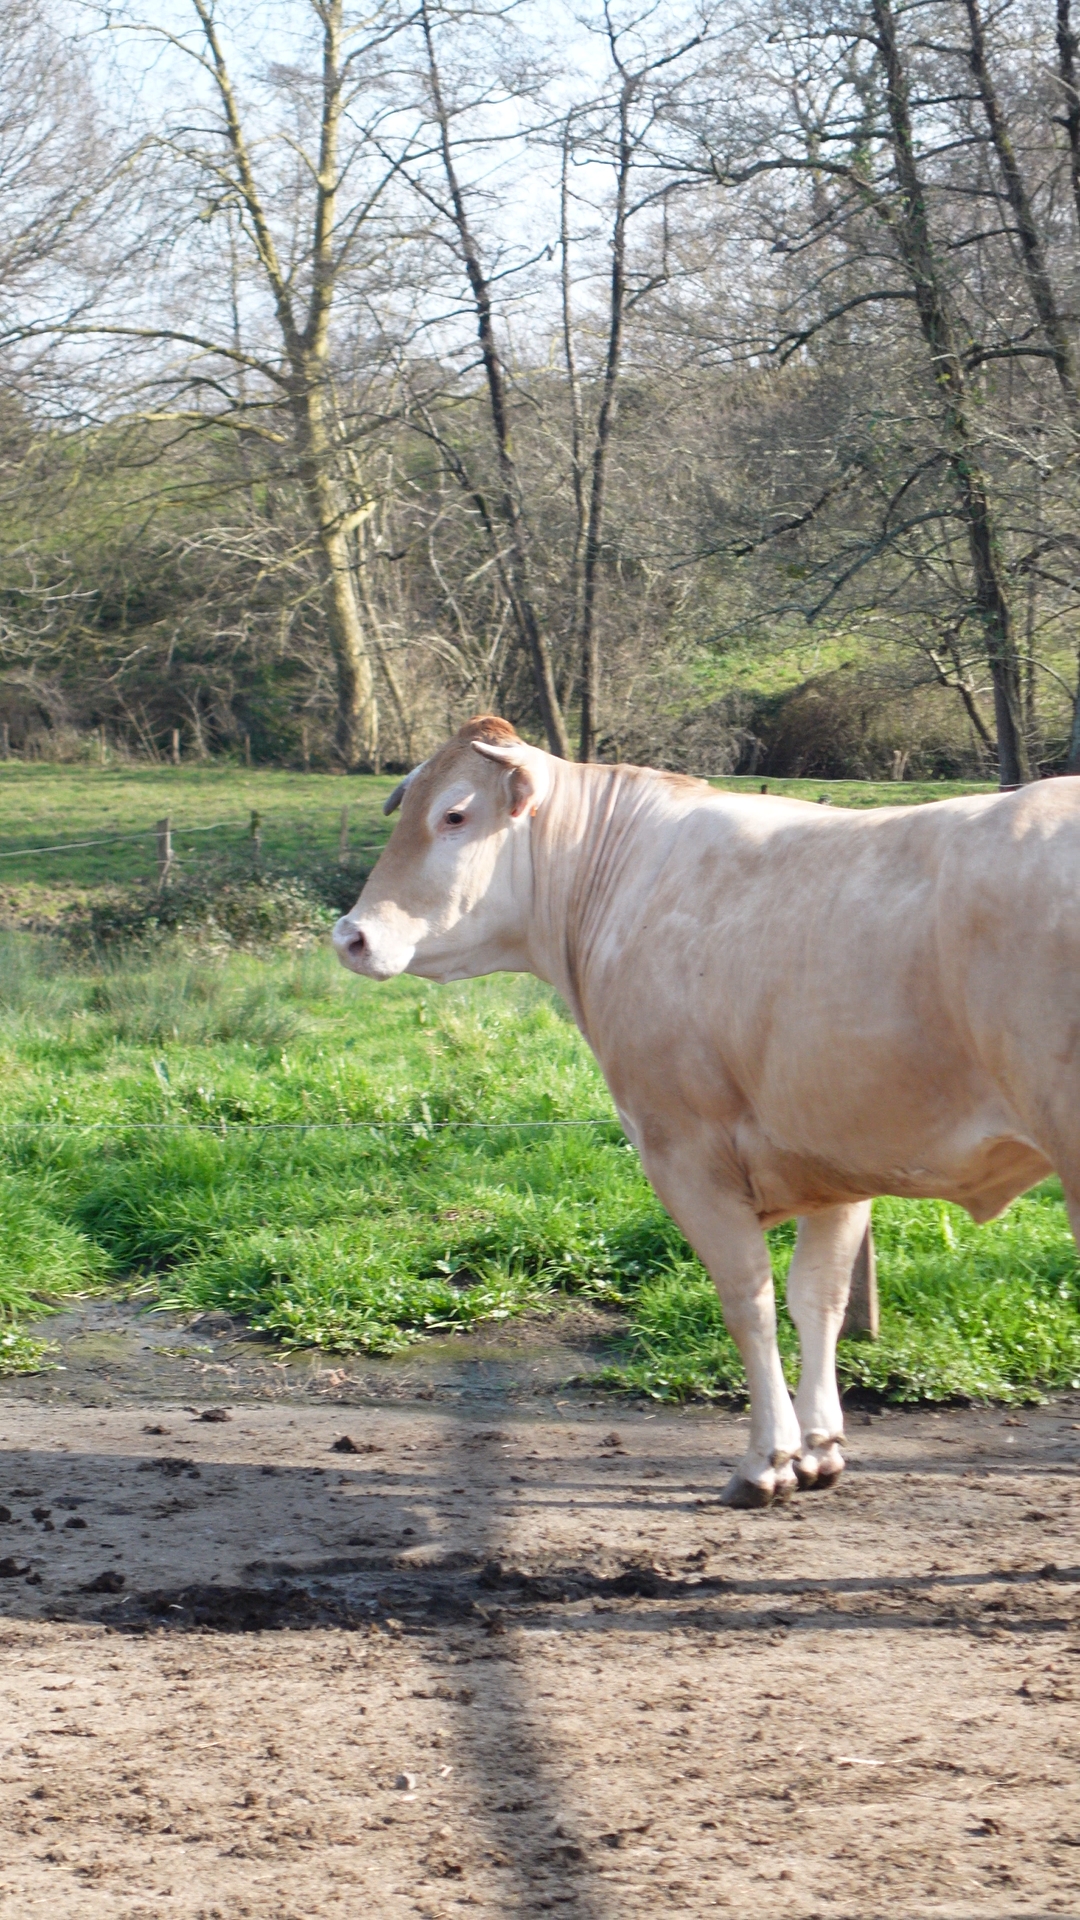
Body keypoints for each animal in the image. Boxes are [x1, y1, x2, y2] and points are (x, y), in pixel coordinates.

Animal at [332, 715, 1080, 1508]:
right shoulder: (838, 1155)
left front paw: (766, 1461)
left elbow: (747, 1300)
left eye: (454, 815)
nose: (350, 935)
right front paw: (819, 1449)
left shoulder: (683, 1151)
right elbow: (818, 1297)